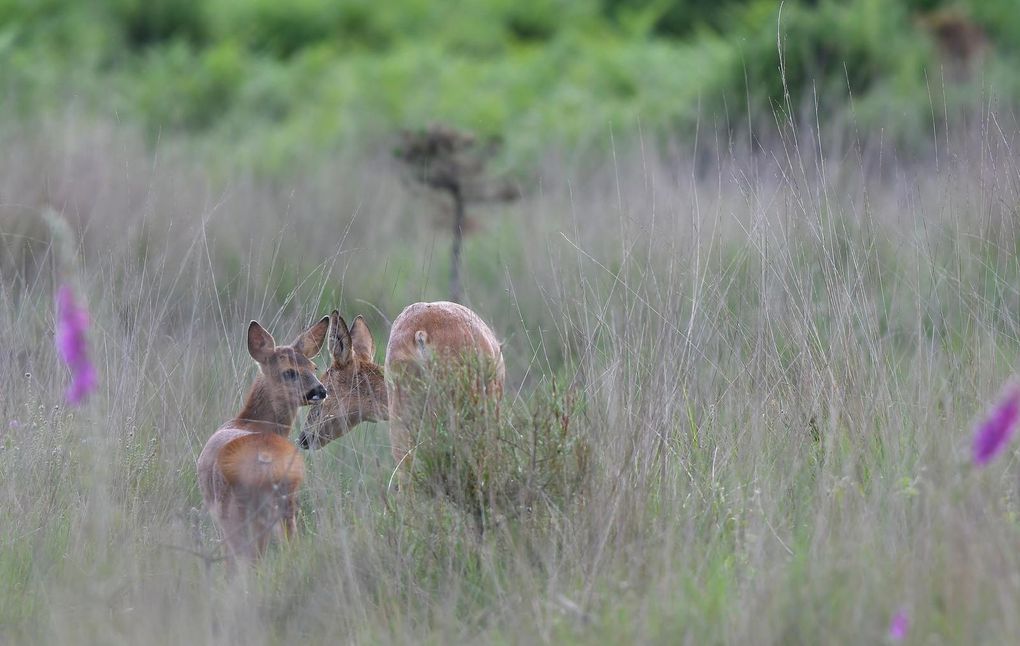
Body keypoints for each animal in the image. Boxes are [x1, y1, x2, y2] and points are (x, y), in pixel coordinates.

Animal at [194, 316, 326, 563]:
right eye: (289, 372)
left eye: (314, 367)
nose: (321, 391)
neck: (248, 421)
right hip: (285, 501)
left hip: (235, 508)